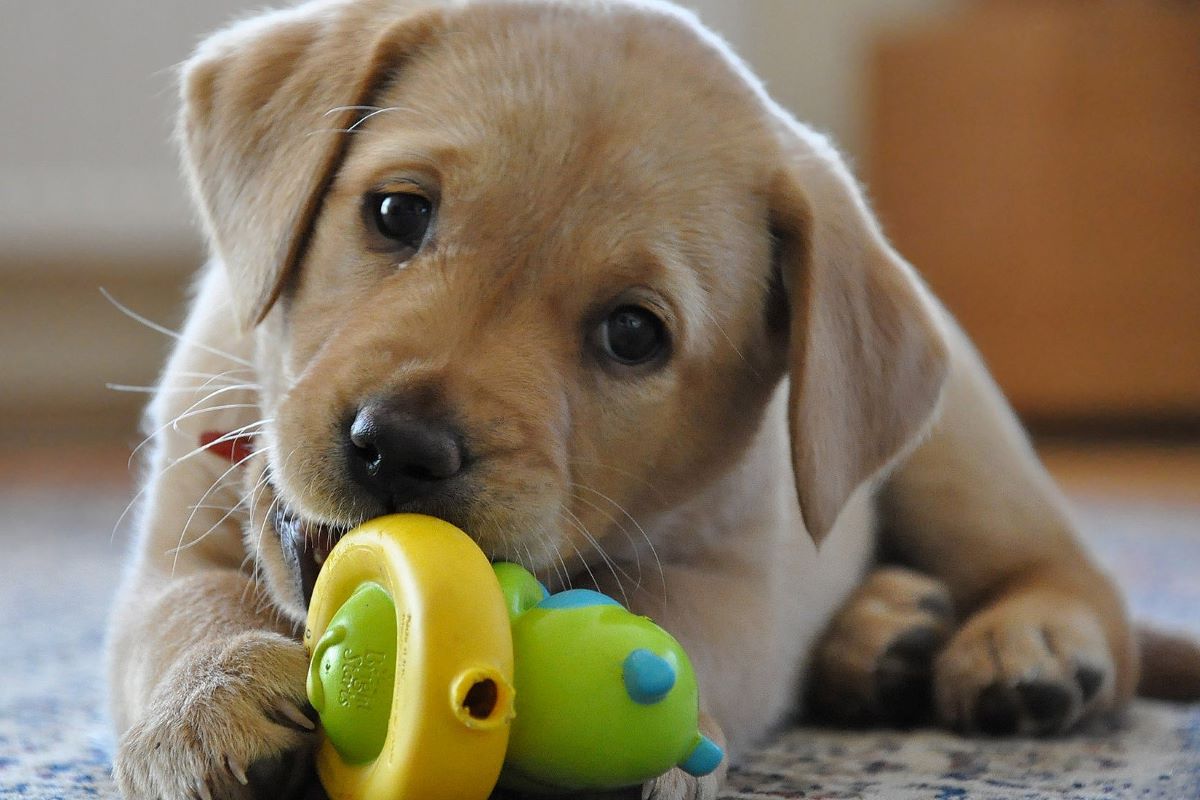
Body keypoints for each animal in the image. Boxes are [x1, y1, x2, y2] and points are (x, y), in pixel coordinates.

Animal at [105, 1, 1200, 800]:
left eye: (634, 334)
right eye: (395, 212)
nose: (401, 448)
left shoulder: (733, 578)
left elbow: (674, 627)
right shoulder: (179, 529)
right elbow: (185, 610)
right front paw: (209, 704)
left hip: (958, 453)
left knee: (1073, 575)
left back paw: (1028, 644)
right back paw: (884, 634)